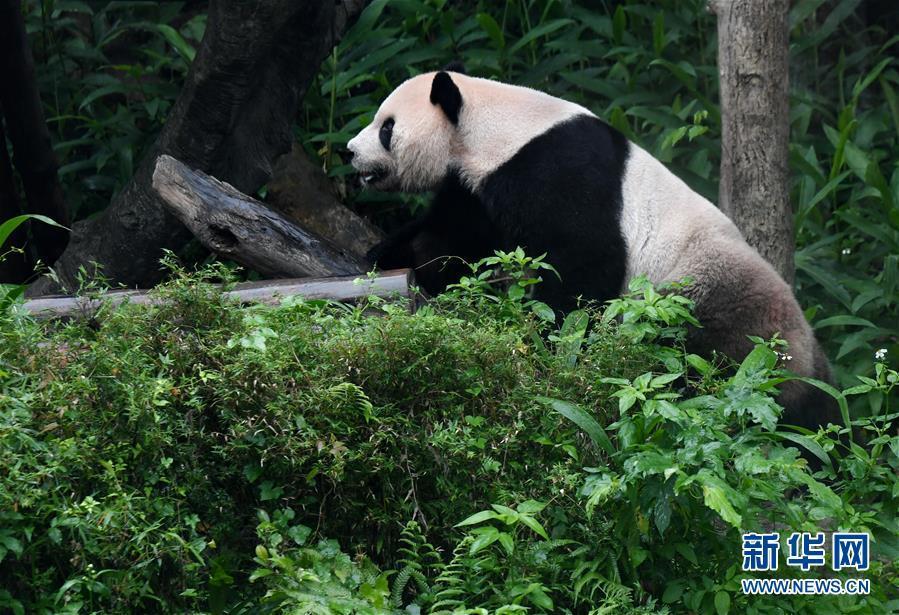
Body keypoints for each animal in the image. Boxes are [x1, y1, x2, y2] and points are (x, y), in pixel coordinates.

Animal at [348, 68, 840, 434]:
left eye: (387, 127)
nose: (351, 151)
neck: (491, 129)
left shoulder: (557, 174)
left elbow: (581, 270)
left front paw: (549, 343)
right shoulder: (474, 191)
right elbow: (448, 242)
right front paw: (385, 257)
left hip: (712, 301)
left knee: (714, 363)